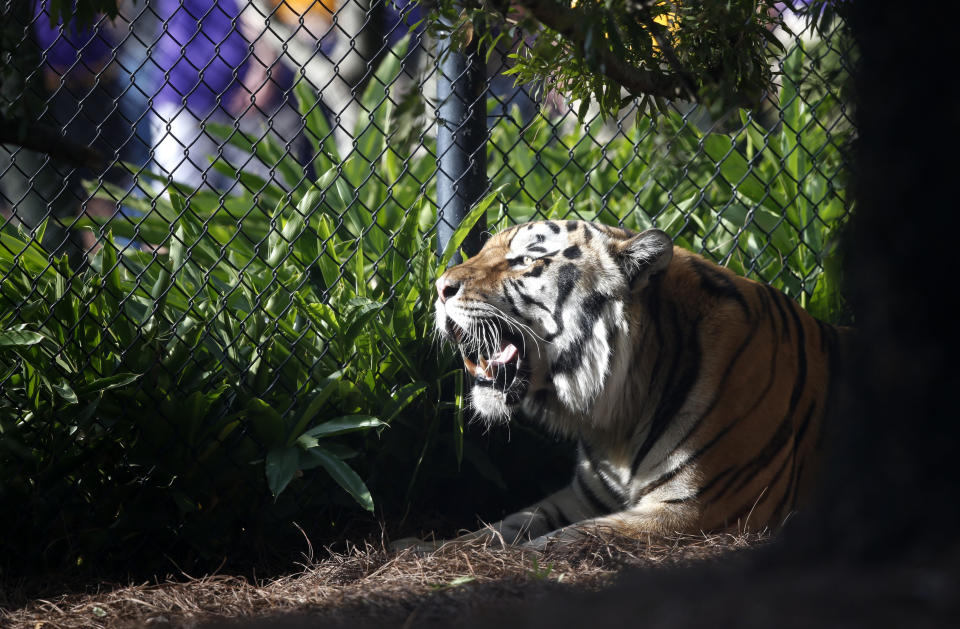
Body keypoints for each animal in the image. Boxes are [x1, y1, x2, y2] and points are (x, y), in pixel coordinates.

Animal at [432, 218, 844, 548]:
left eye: (526, 260)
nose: (439, 288)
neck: (617, 420)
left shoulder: (694, 509)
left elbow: (566, 537)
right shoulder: (580, 498)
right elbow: (506, 525)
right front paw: (432, 549)